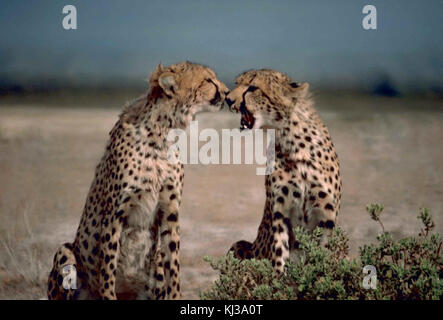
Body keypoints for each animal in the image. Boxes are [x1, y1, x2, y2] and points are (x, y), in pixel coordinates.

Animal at [47, 61, 229, 298]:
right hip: (66, 251)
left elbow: (174, 267)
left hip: (155, 262)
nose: (227, 92)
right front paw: (108, 293)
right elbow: (108, 269)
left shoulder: (170, 210)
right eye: (208, 80)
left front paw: (177, 295)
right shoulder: (114, 214)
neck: (162, 134)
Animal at [225, 69, 344, 274]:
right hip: (239, 246)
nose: (228, 99)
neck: (292, 142)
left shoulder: (327, 216)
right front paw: (279, 278)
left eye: (252, 88)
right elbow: (280, 253)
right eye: (237, 83)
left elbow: (325, 256)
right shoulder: (280, 213)